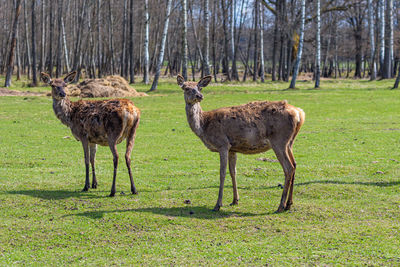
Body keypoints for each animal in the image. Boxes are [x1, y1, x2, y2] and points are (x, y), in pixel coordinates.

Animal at [177, 75, 304, 214]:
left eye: (199, 87)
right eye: (186, 88)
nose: (199, 96)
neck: (204, 125)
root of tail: (299, 113)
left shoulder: (222, 144)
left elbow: (222, 173)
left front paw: (218, 204)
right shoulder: (232, 148)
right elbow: (233, 172)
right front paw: (235, 200)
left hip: (279, 140)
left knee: (288, 168)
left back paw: (280, 205)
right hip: (289, 142)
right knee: (295, 164)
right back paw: (289, 204)